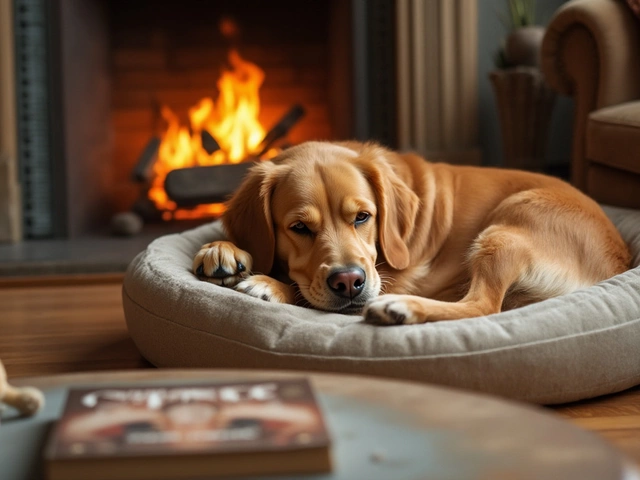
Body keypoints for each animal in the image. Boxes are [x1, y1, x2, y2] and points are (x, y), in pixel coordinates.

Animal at [191, 141, 632, 324]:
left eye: (363, 217)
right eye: (299, 227)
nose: (349, 282)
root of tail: (617, 259)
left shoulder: (391, 276)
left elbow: (303, 292)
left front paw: (271, 284)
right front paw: (222, 248)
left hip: (505, 231)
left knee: (483, 306)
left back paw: (400, 309)